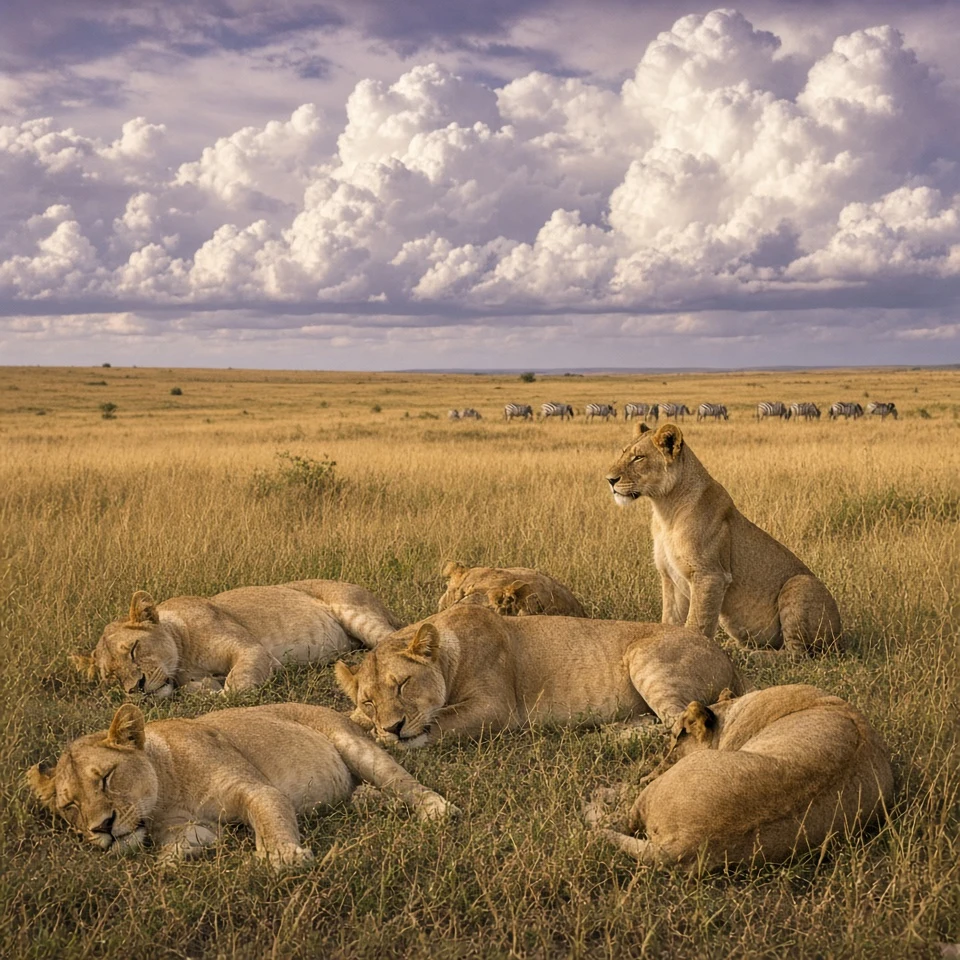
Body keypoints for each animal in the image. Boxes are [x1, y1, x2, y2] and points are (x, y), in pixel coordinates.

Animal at [26, 701, 454, 867]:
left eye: (107, 777)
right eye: (70, 806)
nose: (102, 827)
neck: (165, 797)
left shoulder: (255, 789)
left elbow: (269, 818)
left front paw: (281, 857)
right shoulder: (192, 828)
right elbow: (178, 849)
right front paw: (166, 865)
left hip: (357, 747)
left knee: (404, 782)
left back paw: (436, 810)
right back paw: (373, 802)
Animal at [70, 580, 401, 697]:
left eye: (134, 649)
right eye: (111, 677)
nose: (135, 688)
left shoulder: (253, 651)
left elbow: (236, 686)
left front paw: (216, 693)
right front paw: (204, 687)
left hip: (354, 610)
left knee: (393, 638)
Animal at [334, 603, 749, 748]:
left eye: (403, 684)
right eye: (368, 701)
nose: (391, 726)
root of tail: (727, 658)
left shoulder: (498, 708)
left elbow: (441, 721)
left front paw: (398, 739)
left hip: (646, 659)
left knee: (679, 721)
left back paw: (608, 738)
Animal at [605, 422, 843, 658]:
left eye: (638, 458)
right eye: (623, 452)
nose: (609, 480)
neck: (665, 510)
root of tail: (840, 636)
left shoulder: (710, 575)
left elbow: (696, 624)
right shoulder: (670, 577)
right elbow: (670, 620)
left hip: (799, 584)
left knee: (797, 654)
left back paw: (749, 656)